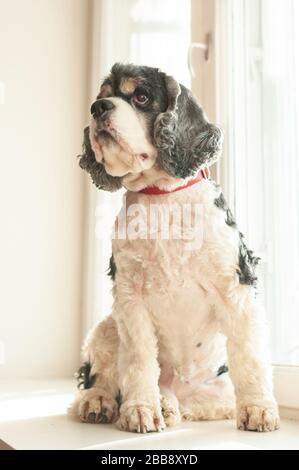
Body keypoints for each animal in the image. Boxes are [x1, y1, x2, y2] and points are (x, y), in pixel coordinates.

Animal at [69, 62, 280, 434]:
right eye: (102, 96)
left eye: (141, 96)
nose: (98, 109)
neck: (162, 199)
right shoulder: (129, 297)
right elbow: (138, 359)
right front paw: (140, 410)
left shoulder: (235, 287)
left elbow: (250, 356)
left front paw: (258, 409)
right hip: (107, 327)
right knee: (103, 375)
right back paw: (102, 402)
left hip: (214, 393)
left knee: (193, 404)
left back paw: (168, 406)